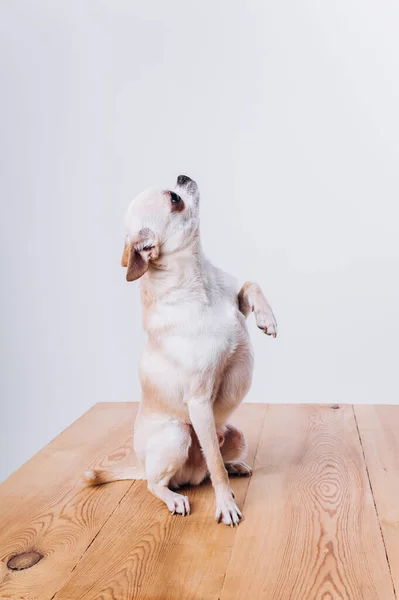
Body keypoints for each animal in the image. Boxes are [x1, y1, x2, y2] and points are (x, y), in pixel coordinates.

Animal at [85, 176, 278, 528]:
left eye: (175, 187)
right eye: (174, 199)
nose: (182, 176)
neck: (201, 282)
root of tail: (141, 465)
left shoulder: (237, 302)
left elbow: (249, 285)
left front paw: (266, 317)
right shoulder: (199, 400)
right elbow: (214, 464)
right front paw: (226, 505)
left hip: (235, 434)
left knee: (211, 466)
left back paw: (235, 466)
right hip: (179, 435)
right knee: (162, 482)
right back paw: (174, 497)